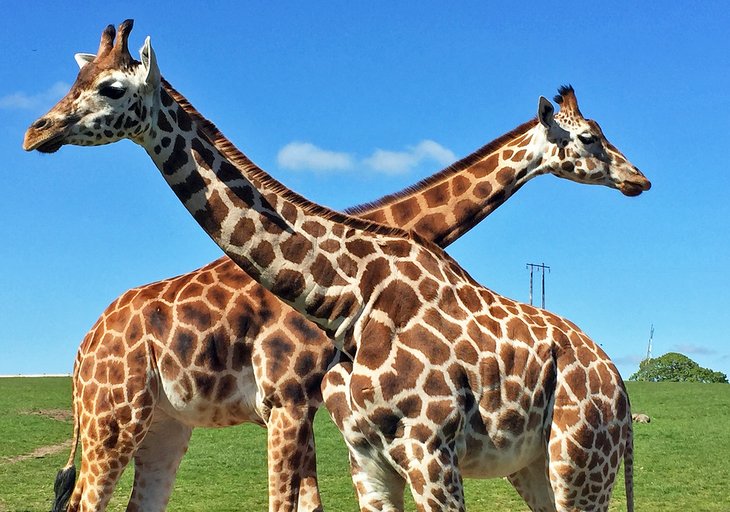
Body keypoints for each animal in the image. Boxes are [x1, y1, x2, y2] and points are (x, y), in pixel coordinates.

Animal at [24, 19, 648, 508]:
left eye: (110, 86)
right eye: (590, 137)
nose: (36, 131)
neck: (345, 295)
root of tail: (84, 344)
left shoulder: (324, 417)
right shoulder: (306, 415)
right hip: (118, 416)